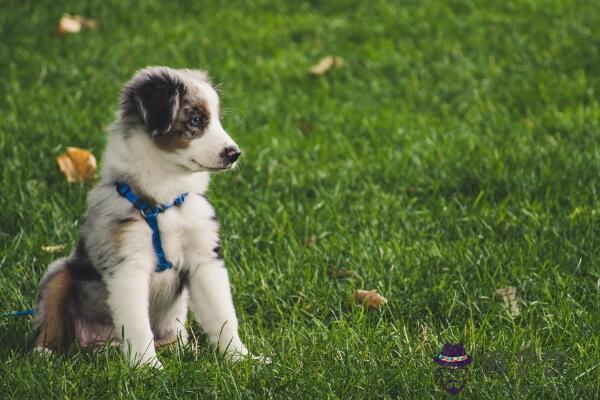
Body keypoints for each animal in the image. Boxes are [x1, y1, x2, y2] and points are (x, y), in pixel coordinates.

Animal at [32, 66, 262, 368]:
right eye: (196, 119)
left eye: (217, 120)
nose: (235, 154)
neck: (165, 198)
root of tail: (101, 344)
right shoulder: (128, 264)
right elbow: (138, 325)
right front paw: (147, 368)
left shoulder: (204, 259)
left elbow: (222, 315)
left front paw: (241, 359)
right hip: (59, 272)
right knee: (51, 317)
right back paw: (44, 352)